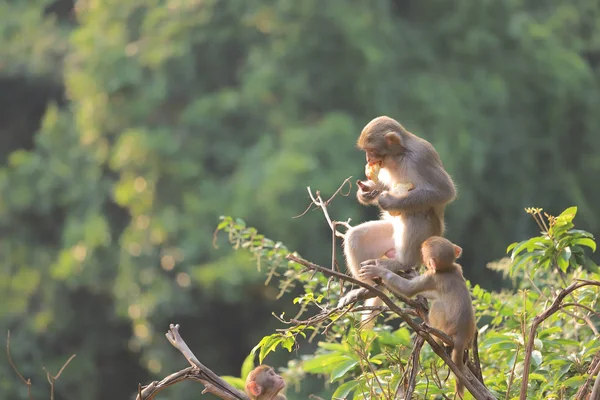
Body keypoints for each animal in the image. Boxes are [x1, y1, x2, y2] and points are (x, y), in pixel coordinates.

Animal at [338, 115, 454, 310]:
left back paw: (402, 263)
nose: (368, 159)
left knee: (415, 212)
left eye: (371, 150)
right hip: (390, 235)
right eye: (366, 151)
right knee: (356, 236)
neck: (399, 156)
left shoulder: (421, 158)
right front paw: (367, 192)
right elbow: (382, 185)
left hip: (426, 242)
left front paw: (389, 201)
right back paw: (369, 289)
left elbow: (444, 192)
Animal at [358, 236, 476, 398]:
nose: (422, 259)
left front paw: (378, 270)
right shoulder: (457, 268)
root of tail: (463, 337)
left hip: (446, 326)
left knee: (438, 305)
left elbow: (409, 290)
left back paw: (436, 337)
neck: (448, 269)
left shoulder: (431, 277)